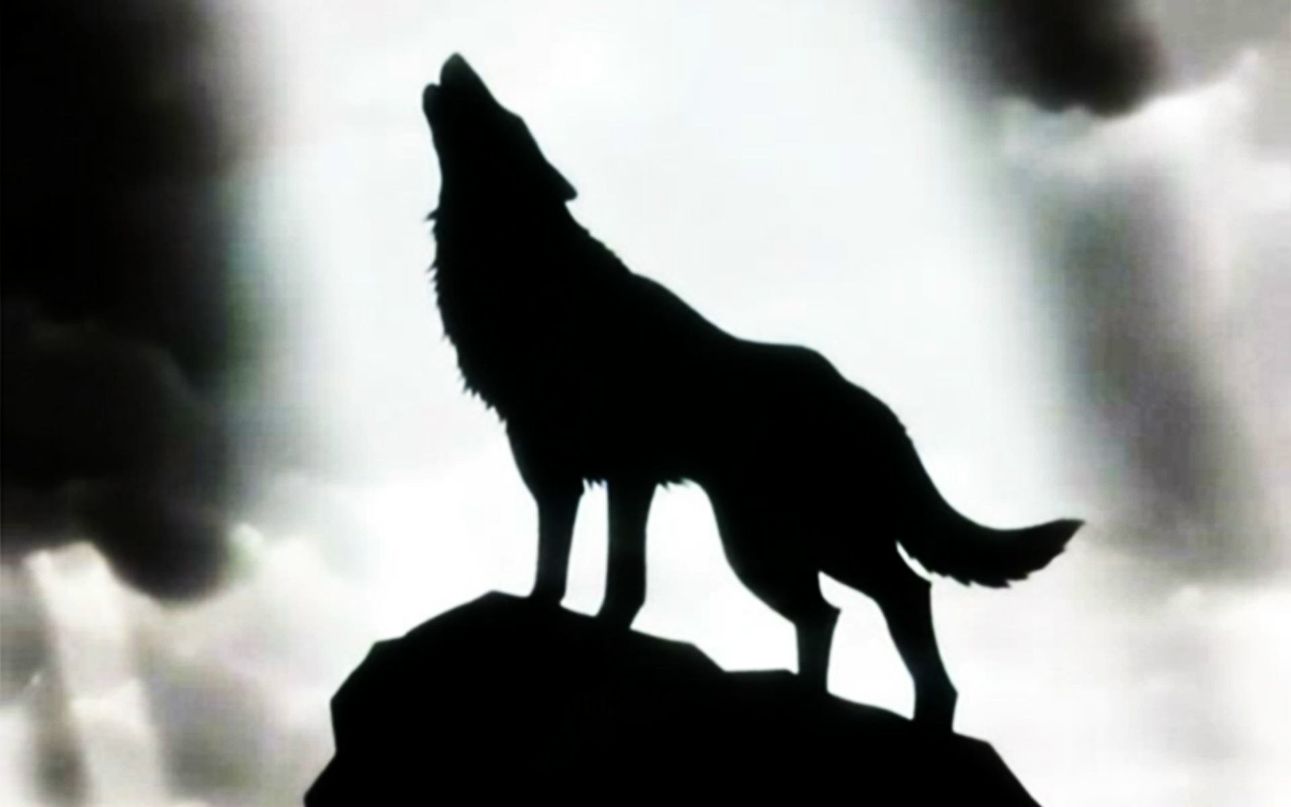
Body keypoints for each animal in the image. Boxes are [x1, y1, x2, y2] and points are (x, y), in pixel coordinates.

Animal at [422, 54, 1080, 728]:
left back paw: (922, 720)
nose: (456, 60)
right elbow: (552, 567)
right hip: (768, 546)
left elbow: (624, 578)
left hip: (803, 541)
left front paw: (603, 631)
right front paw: (540, 610)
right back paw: (806, 696)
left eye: (507, 119)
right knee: (828, 613)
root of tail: (875, 408)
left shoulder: (629, 473)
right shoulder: (550, 468)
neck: (535, 281)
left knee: (902, 595)